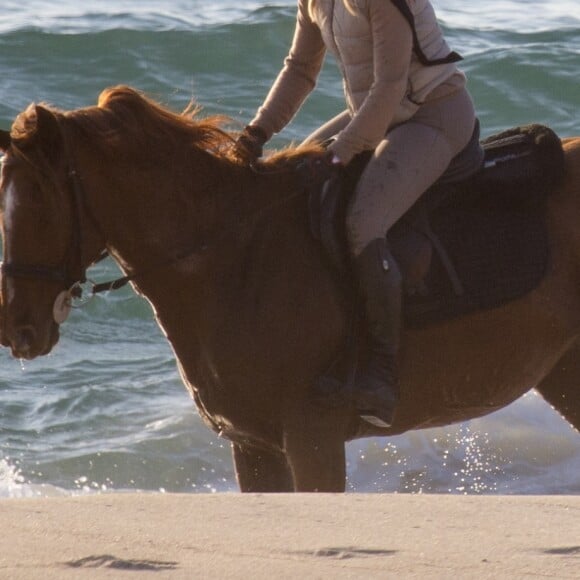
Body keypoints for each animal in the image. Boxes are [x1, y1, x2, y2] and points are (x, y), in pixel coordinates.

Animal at [1, 87, 580, 494]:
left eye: (38, 203)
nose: (17, 330)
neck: (235, 257)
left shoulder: (312, 439)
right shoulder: (254, 447)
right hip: (562, 375)